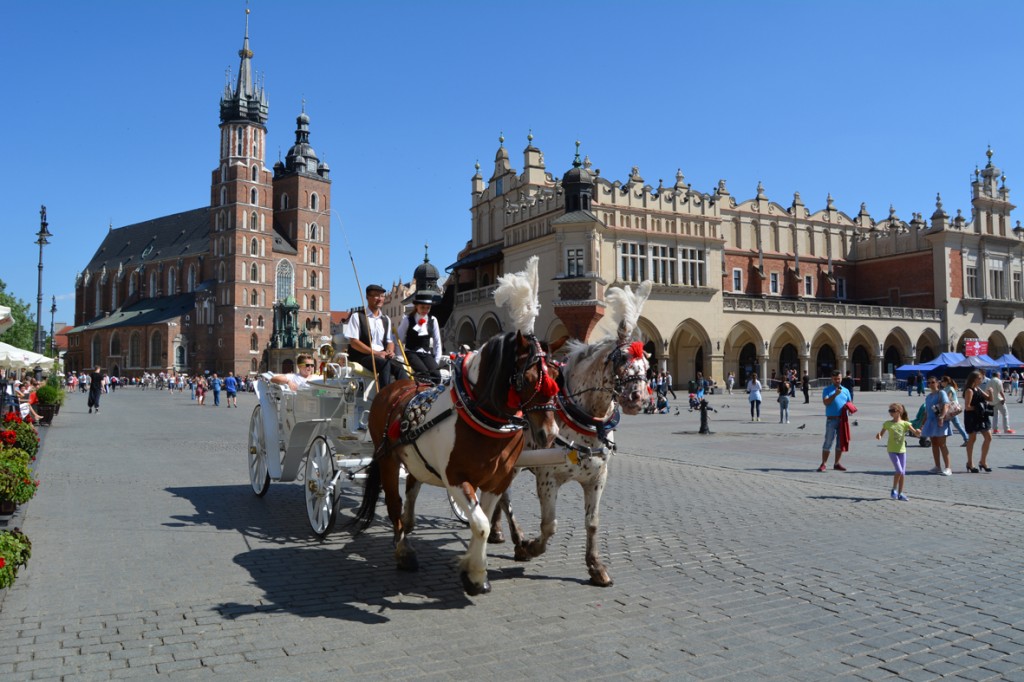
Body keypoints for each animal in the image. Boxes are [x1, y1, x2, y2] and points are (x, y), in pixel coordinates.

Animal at [352, 258, 561, 593]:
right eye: (528, 378)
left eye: (556, 375)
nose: (550, 434)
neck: (483, 418)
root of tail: (395, 386)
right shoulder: (456, 478)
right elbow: (481, 524)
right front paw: (474, 573)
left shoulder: (497, 481)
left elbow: (483, 523)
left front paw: (475, 570)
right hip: (387, 459)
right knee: (395, 503)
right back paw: (403, 550)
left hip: (413, 458)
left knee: (411, 488)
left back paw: (409, 526)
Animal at [485, 280, 651, 585]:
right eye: (621, 358)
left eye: (646, 366)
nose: (638, 398)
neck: (584, 421)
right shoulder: (547, 480)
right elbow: (549, 525)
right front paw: (531, 546)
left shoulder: (597, 479)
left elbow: (592, 523)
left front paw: (596, 566)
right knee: (503, 496)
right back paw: (516, 538)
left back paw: (498, 530)